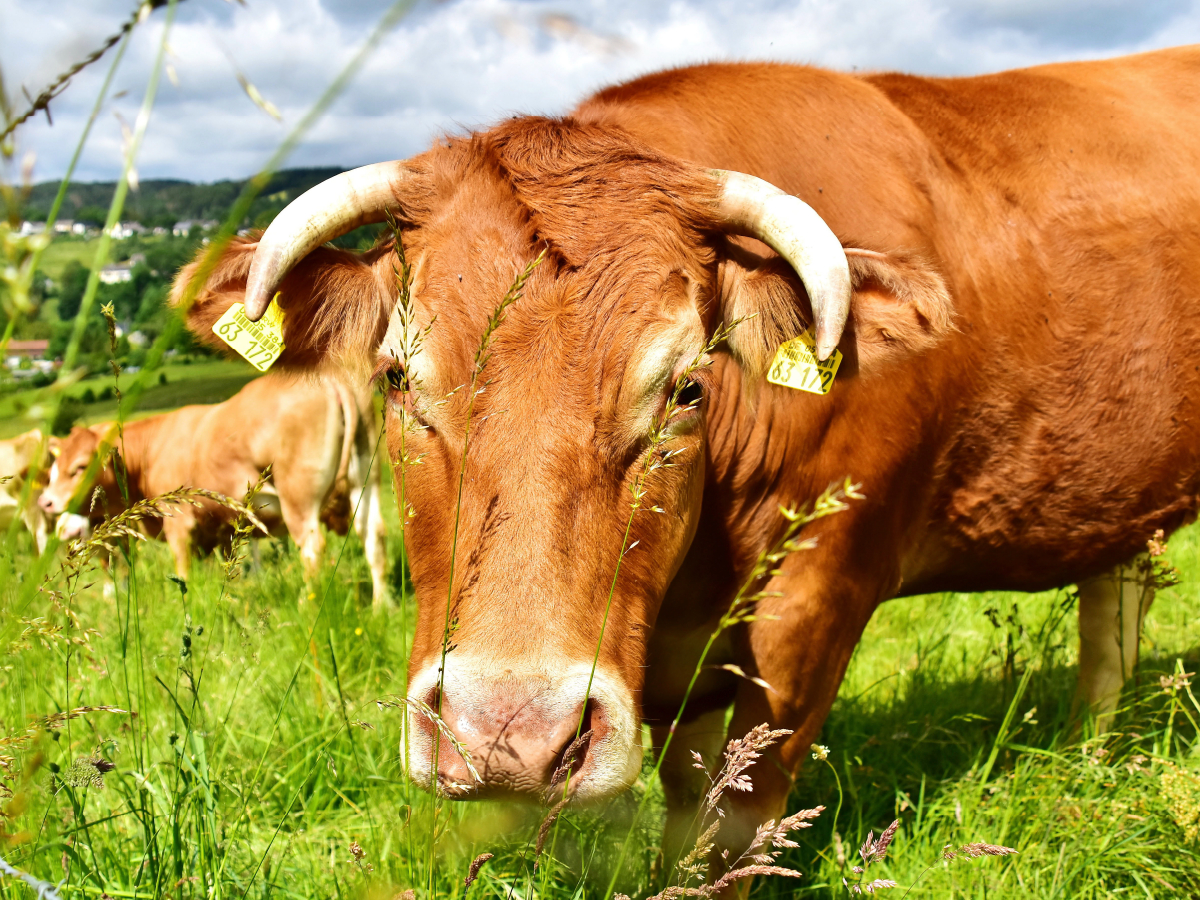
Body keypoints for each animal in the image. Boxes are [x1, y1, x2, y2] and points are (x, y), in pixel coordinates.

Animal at [41, 369, 388, 609]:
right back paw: (382, 606)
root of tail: (330, 376)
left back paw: (309, 604)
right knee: (374, 537)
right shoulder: (220, 531)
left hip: (298, 497)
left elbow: (184, 572)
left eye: (80, 467)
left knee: (313, 549)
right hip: (364, 480)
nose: (46, 502)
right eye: (53, 469)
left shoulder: (179, 524)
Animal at [174, 47, 1200, 868]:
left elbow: (730, 823)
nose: (509, 735)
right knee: (1111, 621)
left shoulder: (814, 605)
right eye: (396, 377)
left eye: (686, 387)